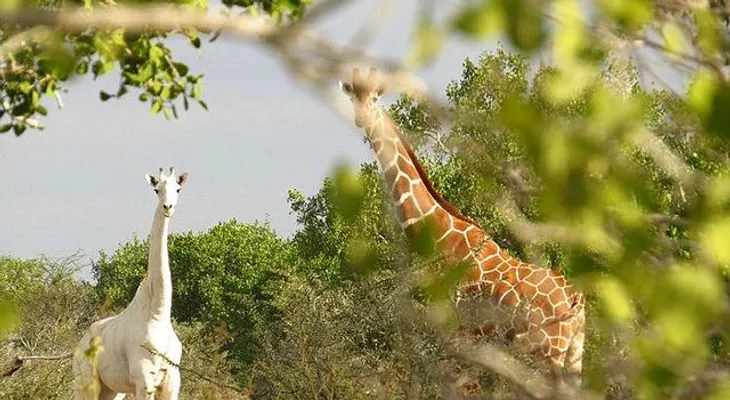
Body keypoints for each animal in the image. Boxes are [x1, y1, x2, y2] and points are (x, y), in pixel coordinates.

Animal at [73, 168, 188, 400]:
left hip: (111, 390)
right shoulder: (143, 379)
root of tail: (80, 344)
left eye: (178, 189)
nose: (168, 207)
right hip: (86, 384)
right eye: (156, 189)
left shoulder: (172, 381)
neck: (158, 314)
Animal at [339, 68, 586, 385]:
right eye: (352, 94)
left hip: (548, 350)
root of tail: (573, 298)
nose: (362, 118)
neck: (444, 236)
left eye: (375, 97)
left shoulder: (460, 332)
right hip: (574, 352)